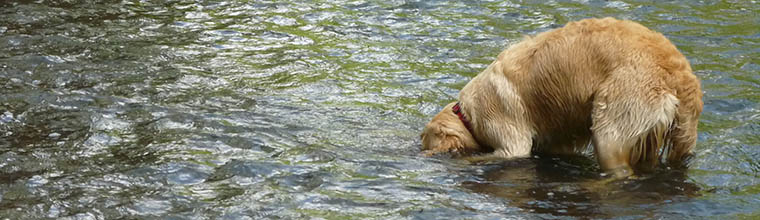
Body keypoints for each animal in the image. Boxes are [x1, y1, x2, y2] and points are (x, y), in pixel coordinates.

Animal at [418, 17, 704, 179]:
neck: (467, 114)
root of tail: (683, 77)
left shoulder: (507, 131)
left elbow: (502, 153)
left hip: (619, 108)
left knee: (618, 163)